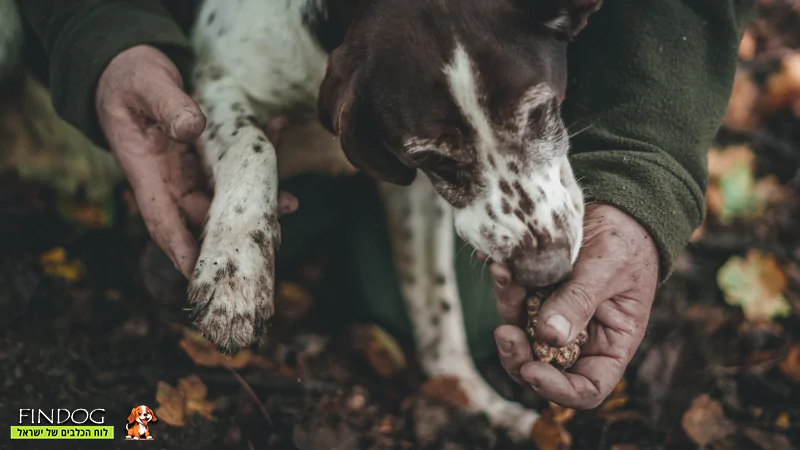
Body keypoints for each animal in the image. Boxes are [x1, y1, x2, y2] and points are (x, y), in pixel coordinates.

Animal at [188, 0, 600, 442]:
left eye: (539, 113)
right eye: (434, 158)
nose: (546, 271)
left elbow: (437, 306)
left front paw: (472, 399)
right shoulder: (216, 80)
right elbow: (253, 144)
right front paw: (234, 271)